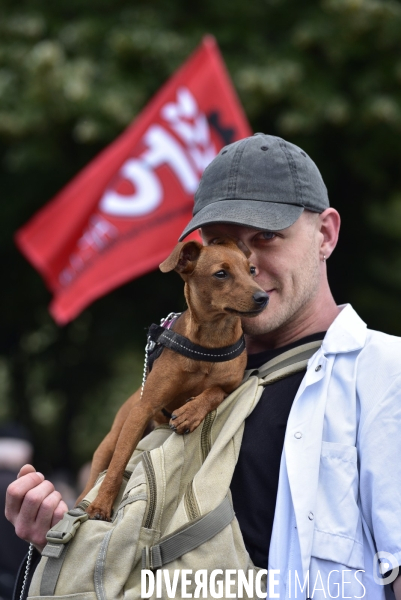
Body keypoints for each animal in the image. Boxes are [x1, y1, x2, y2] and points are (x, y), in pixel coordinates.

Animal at [76, 239, 268, 520]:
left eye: (251, 270)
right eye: (221, 274)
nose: (263, 297)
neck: (210, 343)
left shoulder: (230, 385)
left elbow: (214, 392)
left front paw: (190, 413)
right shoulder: (143, 410)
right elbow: (117, 465)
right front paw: (101, 504)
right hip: (110, 441)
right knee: (99, 472)